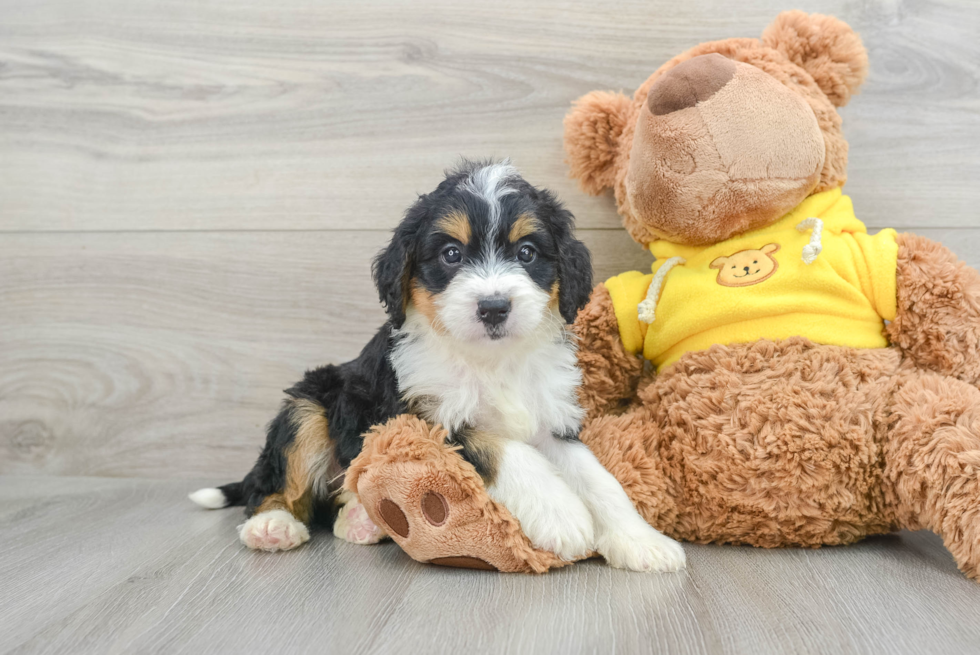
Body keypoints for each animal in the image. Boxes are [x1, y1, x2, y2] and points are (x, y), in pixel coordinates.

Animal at [188, 161, 684, 572]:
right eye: (451, 255)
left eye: (526, 253)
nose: (493, 307)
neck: (490, 359)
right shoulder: (420, 416)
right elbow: (502, 447)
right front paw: (560, 514)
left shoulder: (552, 418)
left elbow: (598, 478)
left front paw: (642, 541)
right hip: (311, 402)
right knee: (273, 481)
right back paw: (272, 526)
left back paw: (361, 521)